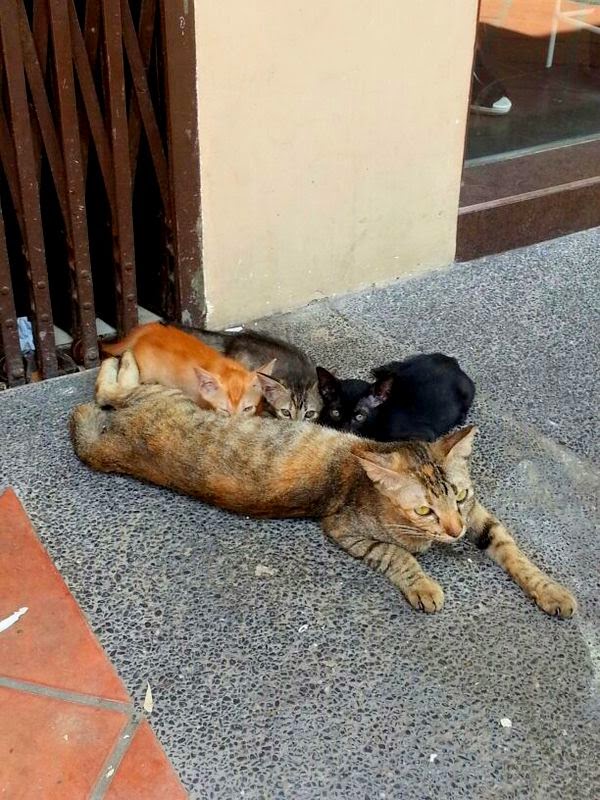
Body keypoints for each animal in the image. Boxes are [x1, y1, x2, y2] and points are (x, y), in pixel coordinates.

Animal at [318, 354, 475, 441]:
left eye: (360, 417)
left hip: (467, 391)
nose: (343, 430)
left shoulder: (423, 436)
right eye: (335, 413)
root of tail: (450, 361)